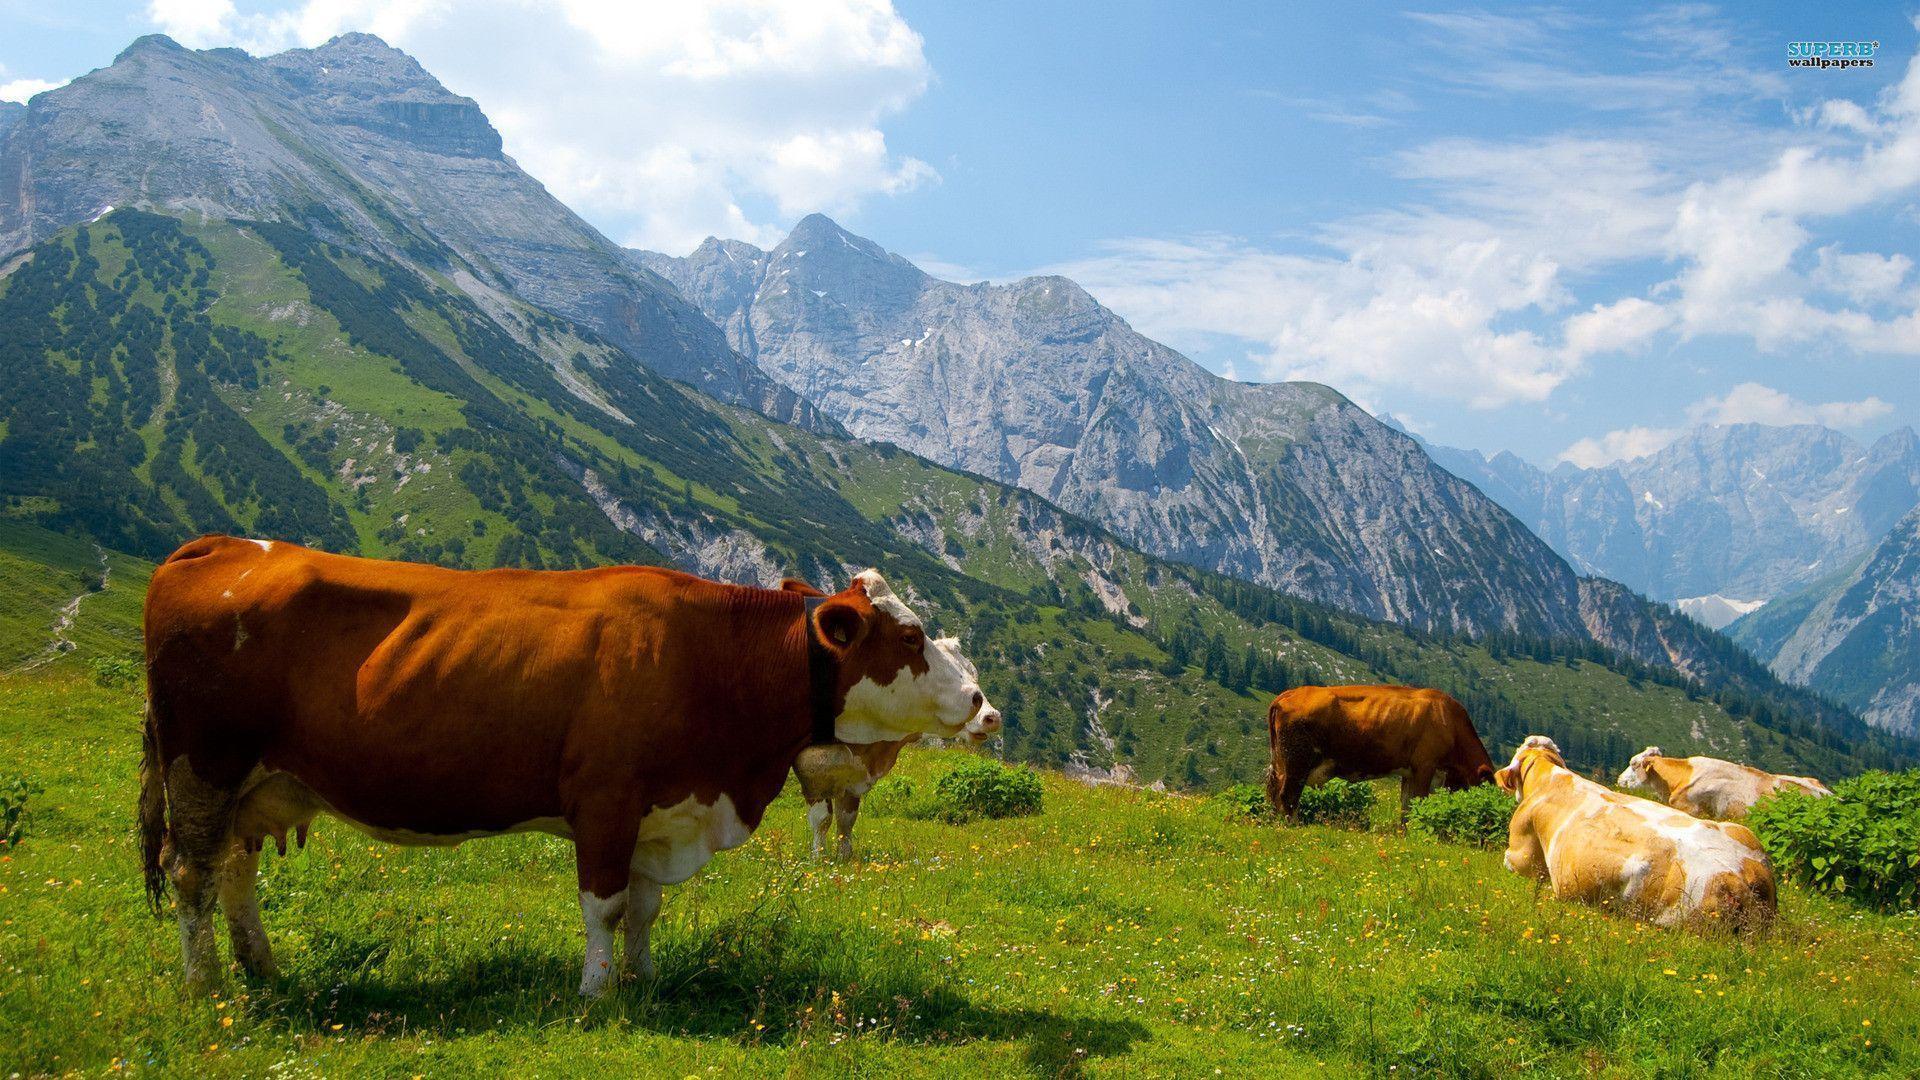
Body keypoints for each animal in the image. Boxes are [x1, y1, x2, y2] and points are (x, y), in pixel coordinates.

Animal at [138, 537, 991, 997]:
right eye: (912, 638)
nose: (982, 700)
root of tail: (218, 547)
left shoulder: (661, 808)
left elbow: (646, 908)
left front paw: (644, 980)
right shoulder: (606, 801)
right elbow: (604, 907)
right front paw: (596, 990)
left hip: (256, 783)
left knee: (235, 870)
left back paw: (260, 967)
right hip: (203, 766)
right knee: (190, 873)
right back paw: (206, 984)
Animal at [1264, 685, 1496, 824]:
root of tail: (1290, 693)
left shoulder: (1409, 772)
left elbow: (1406, 806)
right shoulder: (1425, 766)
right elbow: (1418, 801)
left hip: (1281, 763)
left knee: (1274, 792)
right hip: (1297, 764)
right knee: (1288, 796)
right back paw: (1293, 825)